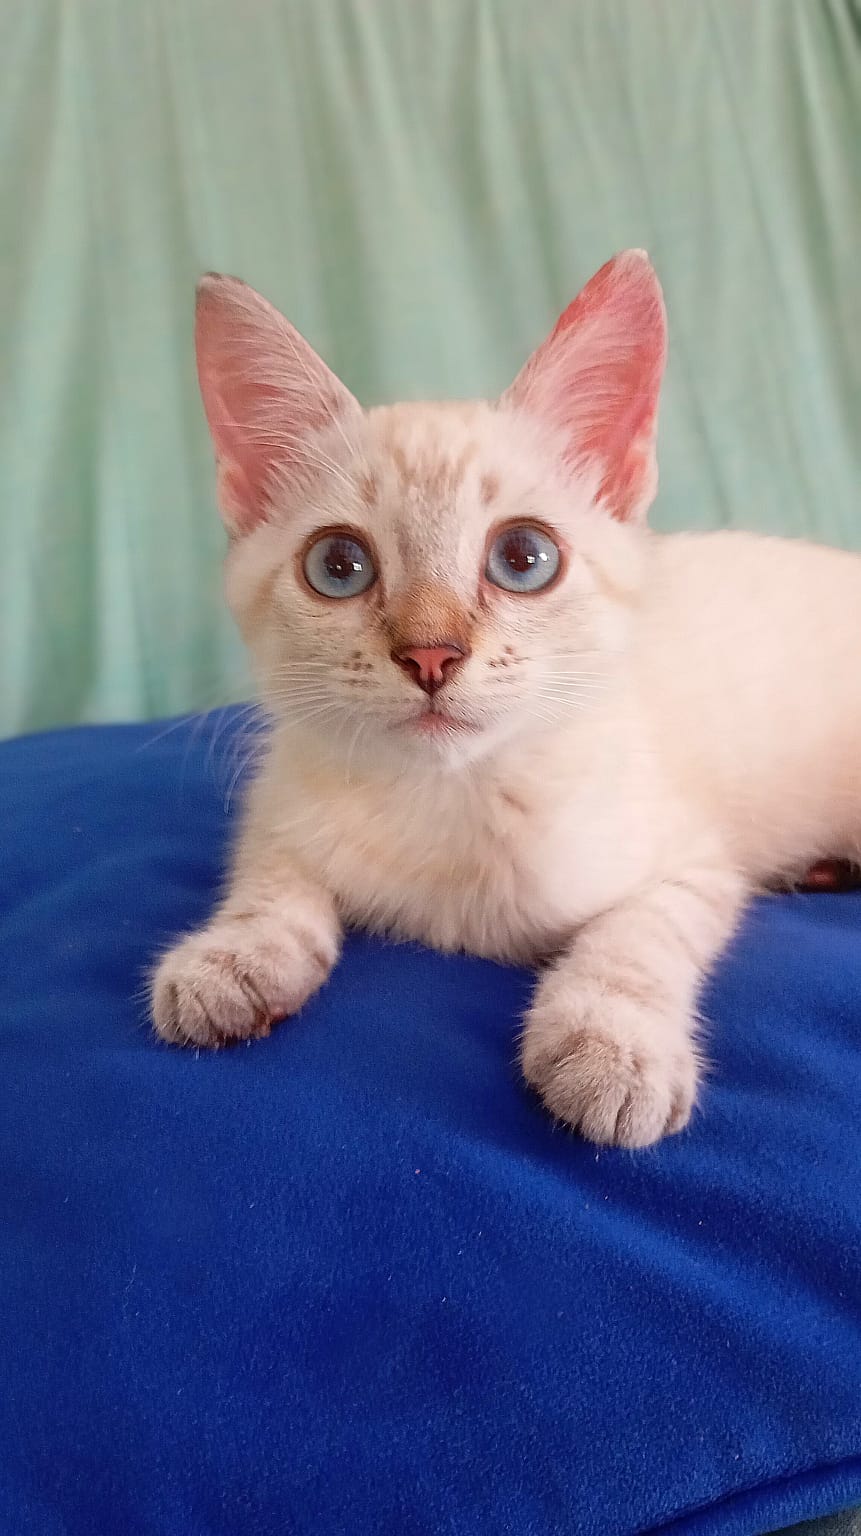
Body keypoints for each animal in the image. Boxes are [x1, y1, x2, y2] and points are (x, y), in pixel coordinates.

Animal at [150, 251, 861, 1148]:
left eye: (523, 558)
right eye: (338, 567)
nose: (429, 654)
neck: (449, 799)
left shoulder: (694, 864)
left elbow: (636, 935)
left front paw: (610, 1045)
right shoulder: (276, 800)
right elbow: (273, 875)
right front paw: (231, 958)